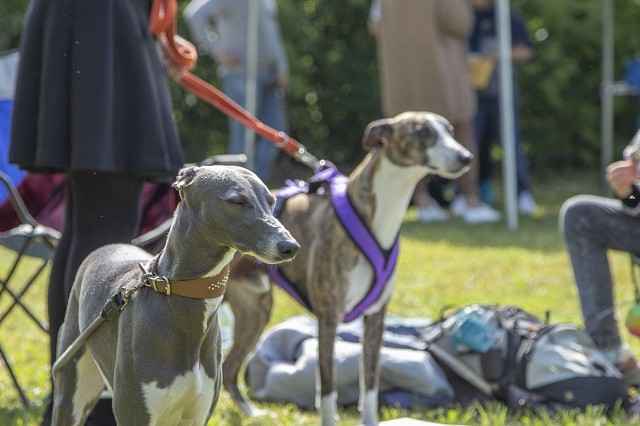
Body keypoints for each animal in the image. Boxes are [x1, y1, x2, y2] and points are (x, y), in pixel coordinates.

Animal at [50, 165, 300, 424]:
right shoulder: (136, 414)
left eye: (272, 201)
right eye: (237, 201)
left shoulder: (198, 414)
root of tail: (109, 247)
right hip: (71, 388)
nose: (290, 247)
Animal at [222, 111, 472, 424]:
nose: (466, 157)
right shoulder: (329, 318)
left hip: (255, 311)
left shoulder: (375, 318)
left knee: (228, 367)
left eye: (449, 130)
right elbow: (328, 389)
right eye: (422, 131)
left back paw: (251, 412)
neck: (375, 220)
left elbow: (371, 386)